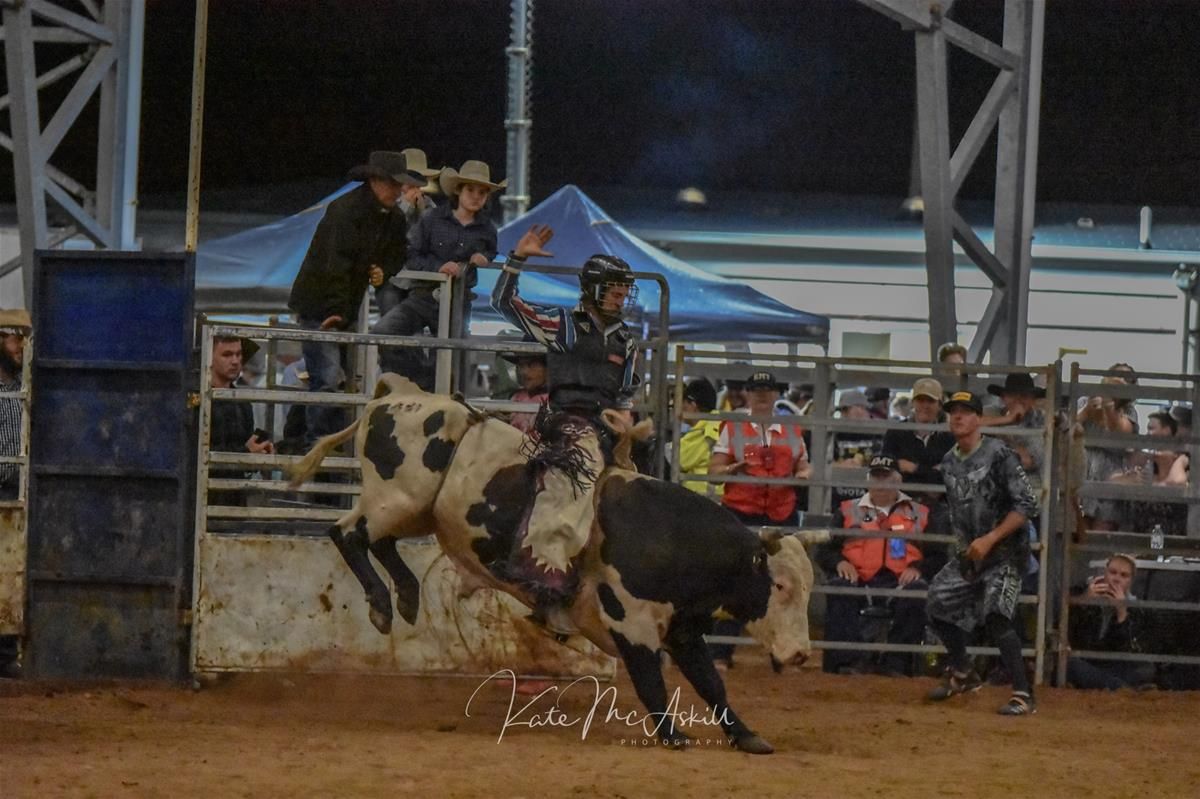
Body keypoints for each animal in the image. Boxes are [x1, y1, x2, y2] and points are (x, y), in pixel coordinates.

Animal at [288, 374, 825, 753]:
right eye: (779, 587)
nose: (802, 655)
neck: (666, 535)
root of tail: (396, 396)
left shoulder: (682, 630)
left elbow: (712, 685)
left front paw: (748, 737)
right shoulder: (631, 626)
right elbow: (652, 683)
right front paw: (673, 736)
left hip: (413, 510)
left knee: (379, 543)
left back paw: (405, 595)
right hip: (395, 499)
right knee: (347, 534)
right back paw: (382, 603)